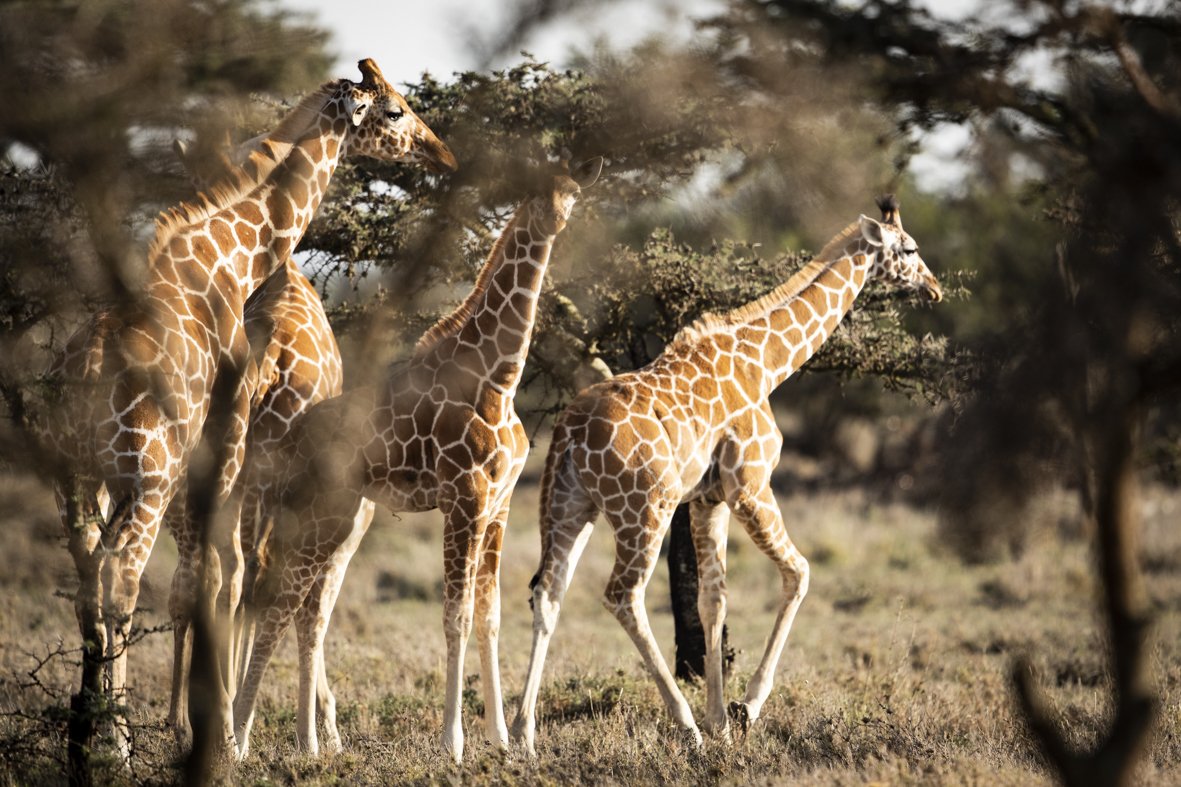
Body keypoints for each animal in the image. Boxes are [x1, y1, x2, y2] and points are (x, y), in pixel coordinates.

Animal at [37, 58, 456, 758]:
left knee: (88, 578)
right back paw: (121, 743)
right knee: (131, 577)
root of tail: (87, 370)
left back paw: (87, 729)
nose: (441, 151)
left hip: (79, 477)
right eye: (394, 110)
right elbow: (223, 577)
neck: (227, 263)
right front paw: (221, 725)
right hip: (150, 475)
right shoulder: (227, 442)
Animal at [230, 156, 604, 762]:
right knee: (277, 604)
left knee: (301, 607)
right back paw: (239, 739)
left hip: (339, 517)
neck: (499, 379)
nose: (553, 220)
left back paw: (304, 742)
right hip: (317, 516)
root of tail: (289, 442)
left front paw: (502, 740)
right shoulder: (464, 500)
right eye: (534, 190)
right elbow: (456, 617)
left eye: (571, 189)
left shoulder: (498, 507)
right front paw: (453, 743)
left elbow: (490, 617)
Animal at [511, 196, 942, 753]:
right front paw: (745, 708)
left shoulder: (707, 497)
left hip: (570, 506)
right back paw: (685, 726)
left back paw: (521, 735)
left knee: (548, 591)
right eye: (908, 248)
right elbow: (799, 572)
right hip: (643, 508)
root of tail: (567, 431)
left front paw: (720, 719)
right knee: (622, 595)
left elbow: (712, 598)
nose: (933, 287)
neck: (766, 363)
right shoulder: (750, 485)